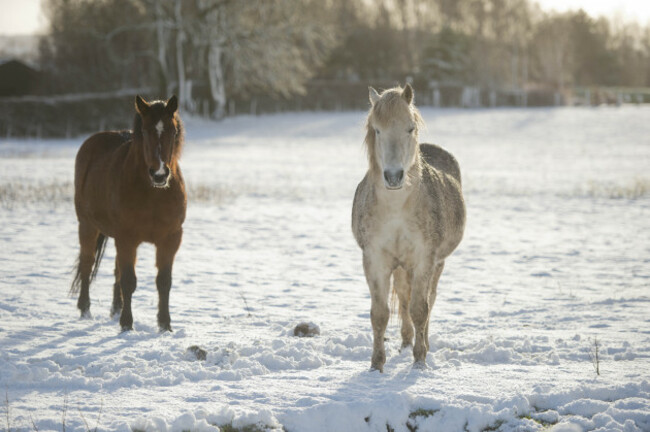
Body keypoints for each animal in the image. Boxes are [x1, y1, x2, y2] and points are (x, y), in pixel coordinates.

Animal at [72, 95, 186, 330]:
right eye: (144, 131)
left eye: (173, 131)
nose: (159, 174)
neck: (153, 193)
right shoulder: (127, 238)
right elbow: (129, 281)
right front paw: (126, 324)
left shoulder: (170, 239)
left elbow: (163, 282)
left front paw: (165, 325)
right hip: (87, 225)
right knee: (87, 264)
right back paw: (85, 309)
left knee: (115, 269)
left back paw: (115, 309)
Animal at [352, 85, 464, 372]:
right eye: (377, 130)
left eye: (410, 128)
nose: (393, 176)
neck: (396, 211)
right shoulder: (375, 260)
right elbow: (380, 314)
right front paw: (376, 366)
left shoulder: (425, 258)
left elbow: (420, 309)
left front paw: (419, 361)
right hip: (402, 266)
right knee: (403, 299)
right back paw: (405, 343)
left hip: (436, 264)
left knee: (428, 300)